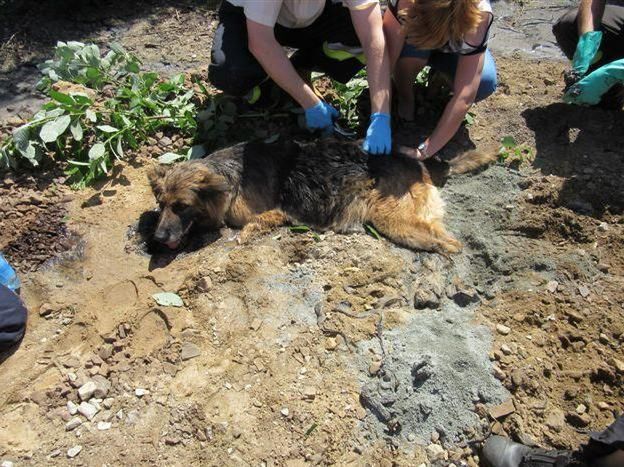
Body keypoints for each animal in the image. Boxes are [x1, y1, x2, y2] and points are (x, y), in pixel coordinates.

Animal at [146, 138, 492, 254]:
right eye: (161, 205)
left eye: (182, 206)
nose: (158, 239)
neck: (228, 177)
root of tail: (419, 162)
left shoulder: (274, 212)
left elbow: (252, 225)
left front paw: (242, 237)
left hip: (393, 219)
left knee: (449, 242)